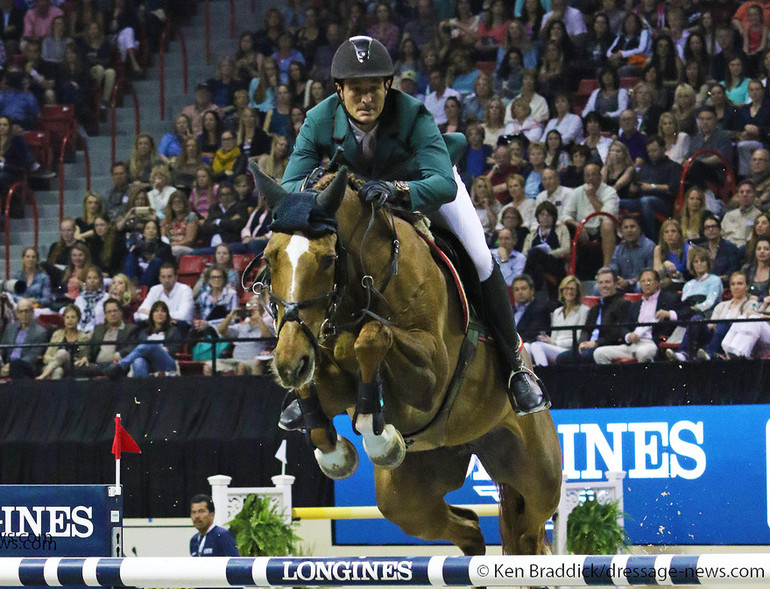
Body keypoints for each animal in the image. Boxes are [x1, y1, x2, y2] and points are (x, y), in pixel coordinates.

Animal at [250, 162, 560, 556]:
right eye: (269, 257)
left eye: (328, 259)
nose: (290, 363)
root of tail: (469, 444)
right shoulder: (332, 379)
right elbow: (320, 396)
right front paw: (336, 452)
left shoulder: (430, 377)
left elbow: (374, 335)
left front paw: (378, 435)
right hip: (410, 496)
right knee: (467, 527)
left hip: (537, 475)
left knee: (528, 531)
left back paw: (524, 388)